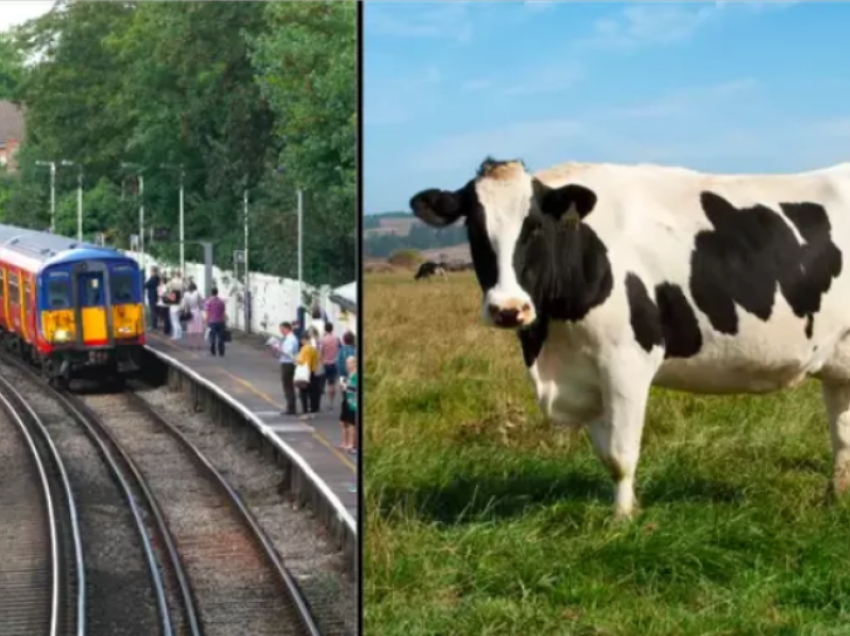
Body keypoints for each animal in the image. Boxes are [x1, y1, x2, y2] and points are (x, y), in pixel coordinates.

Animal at [410, 157, 850, 520]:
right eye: (474, 227)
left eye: (534, 227)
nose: (508, 308)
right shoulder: (586, 375)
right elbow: (605, 452)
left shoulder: (625, 362)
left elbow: (622, 455)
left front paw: (622, 521)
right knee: (842, 431)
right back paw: (837, 495)